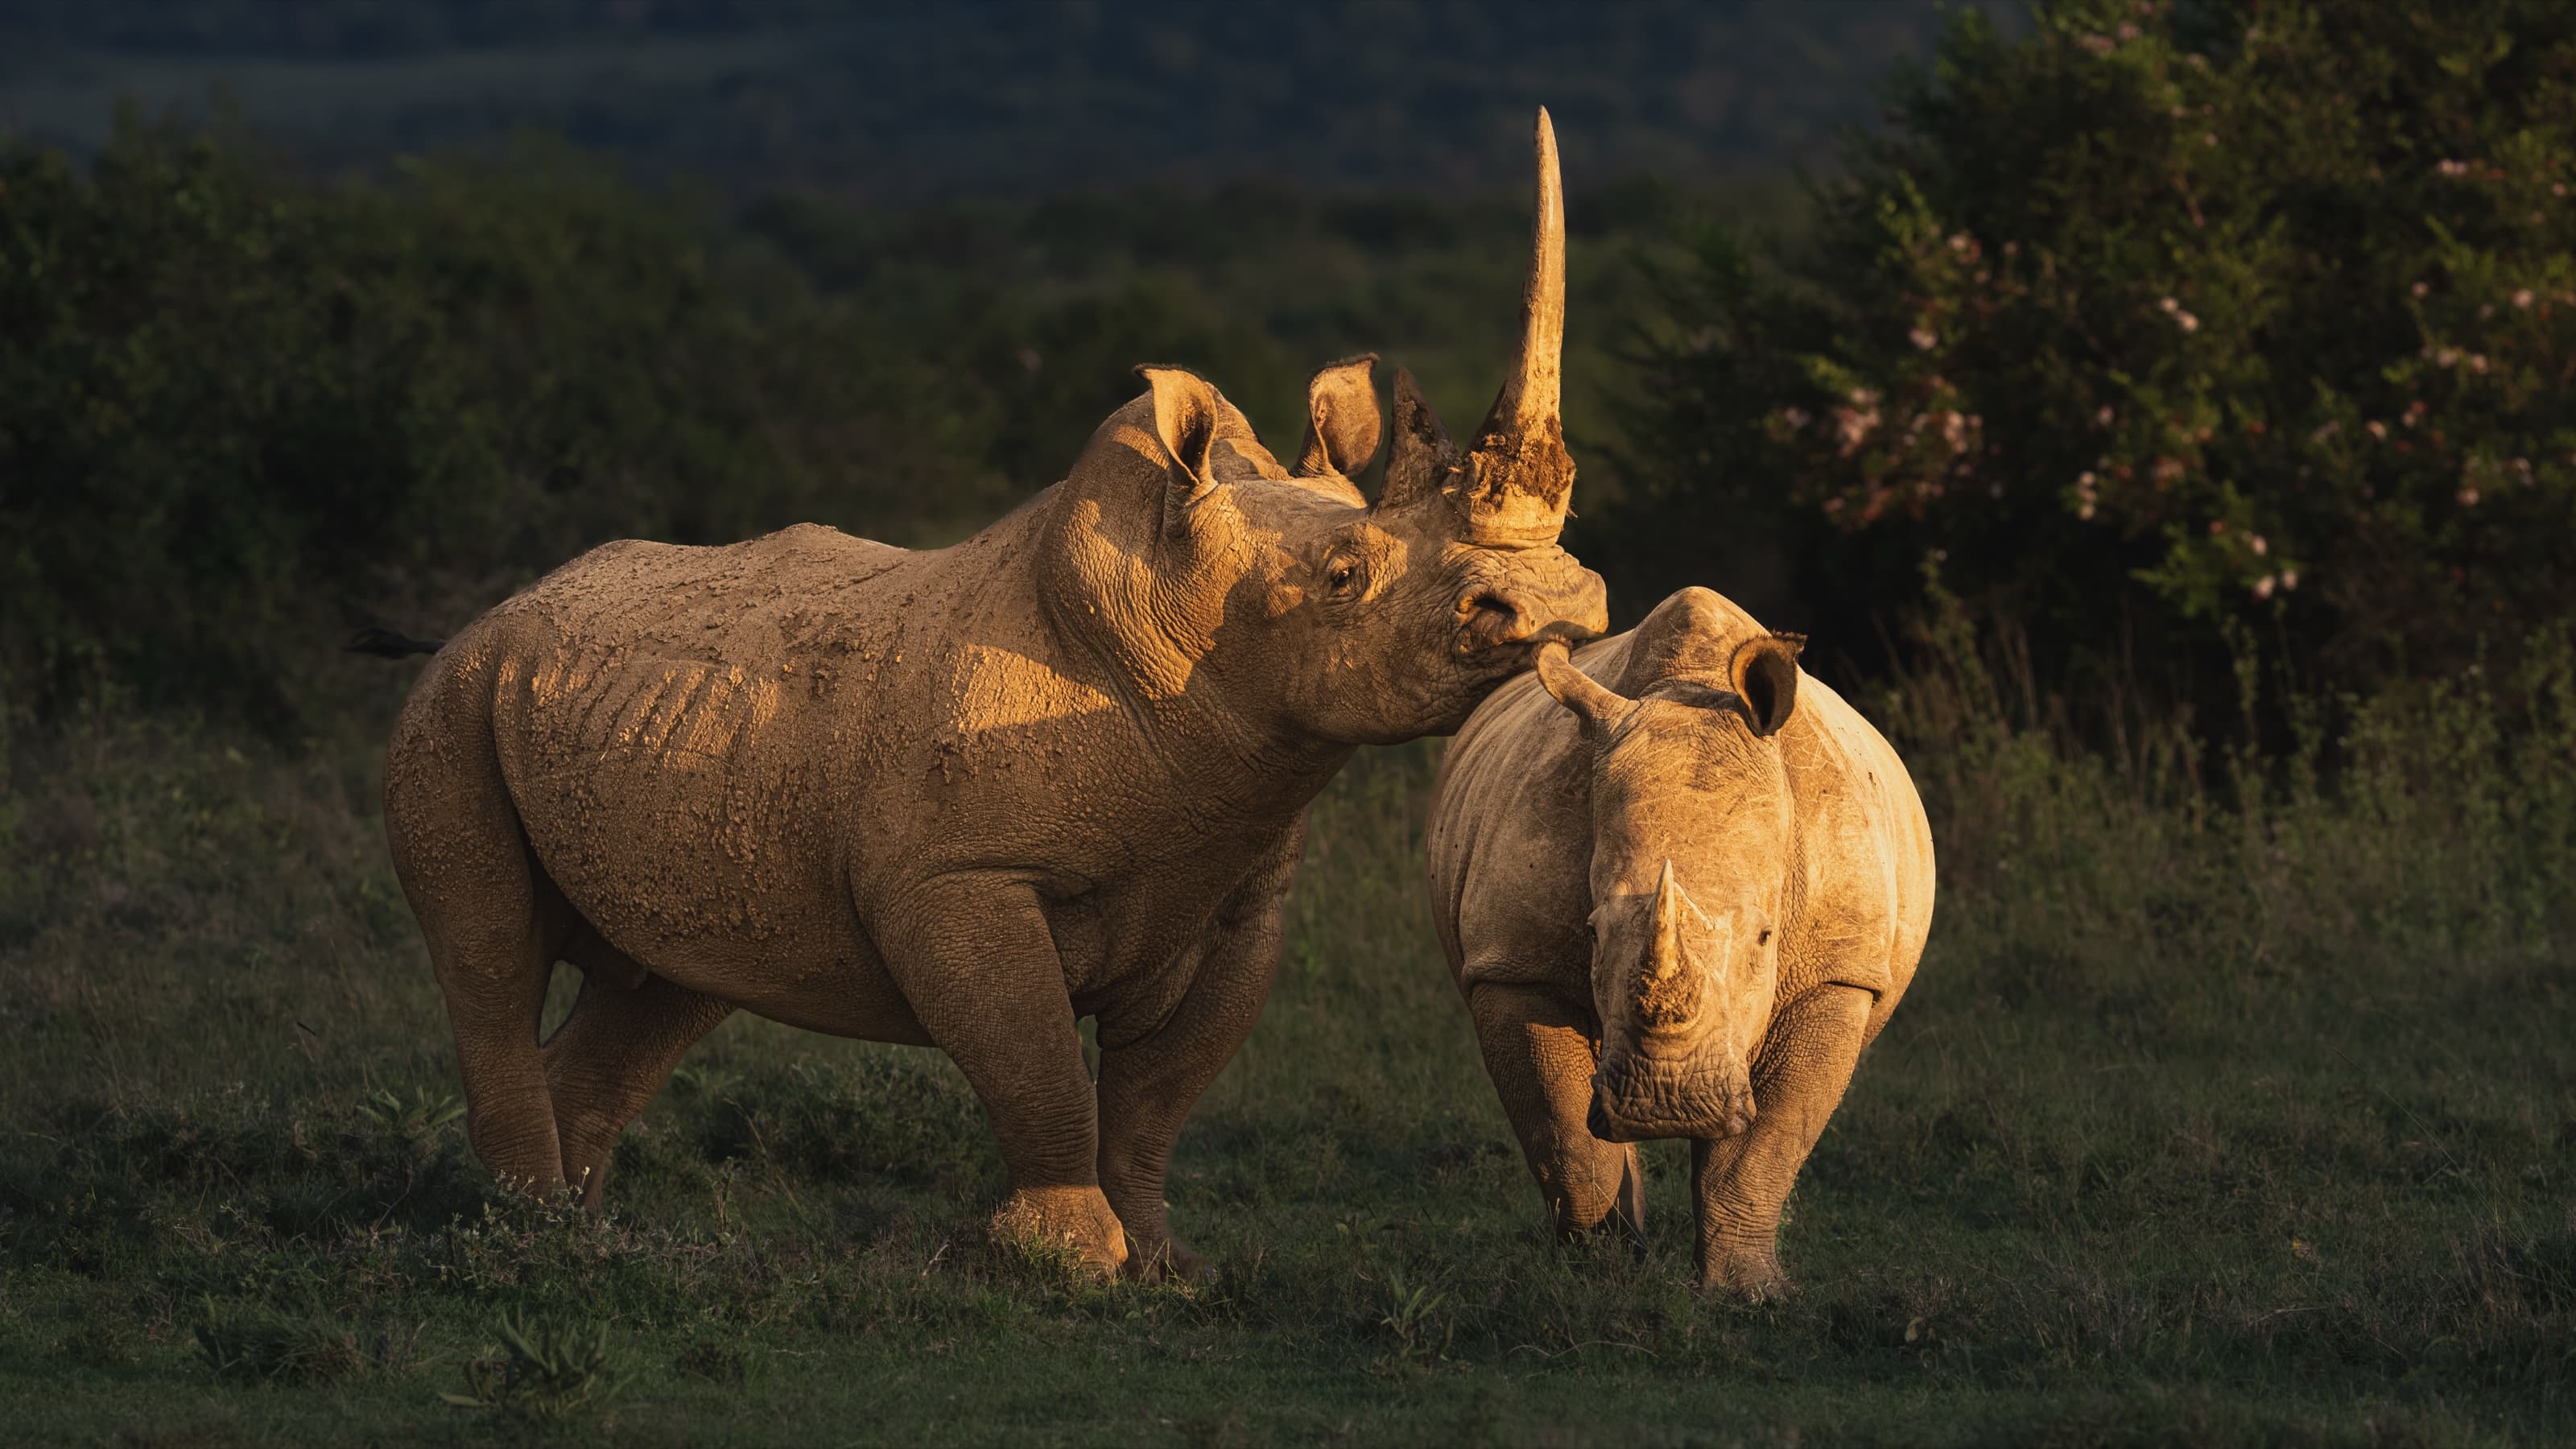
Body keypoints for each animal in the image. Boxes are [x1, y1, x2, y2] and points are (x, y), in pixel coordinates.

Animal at [372, 111, 1607, 1281]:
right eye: (1344, 578)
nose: (1560, 606)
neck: (1173, 608)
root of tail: (500, 611)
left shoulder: (1236, 889)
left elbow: (1155, 1100)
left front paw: (1166, 1267)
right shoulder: (959, 876)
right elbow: (1035, 1065)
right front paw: (1069, 1264)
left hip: (652, 731)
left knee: (667, 983)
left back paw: (577, 1235)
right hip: (452, 705)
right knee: (488, 956)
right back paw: (522, 1236)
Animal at [1425, 587, 1934, 1298]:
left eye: (1766, 937)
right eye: (1591, 931)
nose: (1666, 1104)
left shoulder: (1838, 973)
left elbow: (1766, 1146)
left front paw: (1748, 1294)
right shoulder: (1515, 965)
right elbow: (1568, 1140)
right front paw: (1602, 1282)